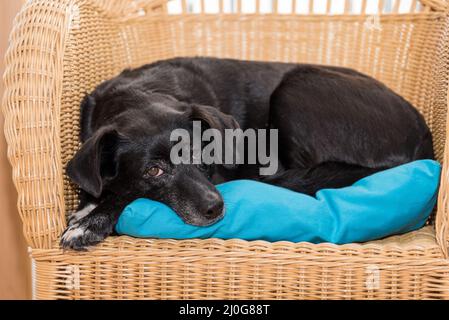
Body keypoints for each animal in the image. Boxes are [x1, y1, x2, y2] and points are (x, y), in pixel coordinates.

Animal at [61, 57, 432, 250]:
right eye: (153, 171)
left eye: (203, 154)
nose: (215, 208)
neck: (139, 94)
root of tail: (423, 140)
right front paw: (90, 205)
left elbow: (125, 194)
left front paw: (93, 220)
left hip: (295, 87)